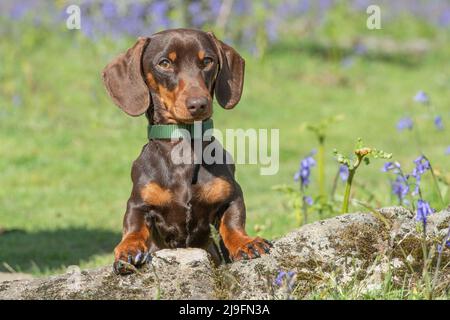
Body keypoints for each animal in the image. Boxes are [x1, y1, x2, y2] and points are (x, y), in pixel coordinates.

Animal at [102, 28, 270, 276]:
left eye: (208, 61)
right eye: (164, 63)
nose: (198, 104)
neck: (183, 150)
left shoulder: (232, 196)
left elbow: (233, 223)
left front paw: (245, 242)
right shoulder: (138, 204)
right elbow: (134, 227)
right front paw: (128, 249)